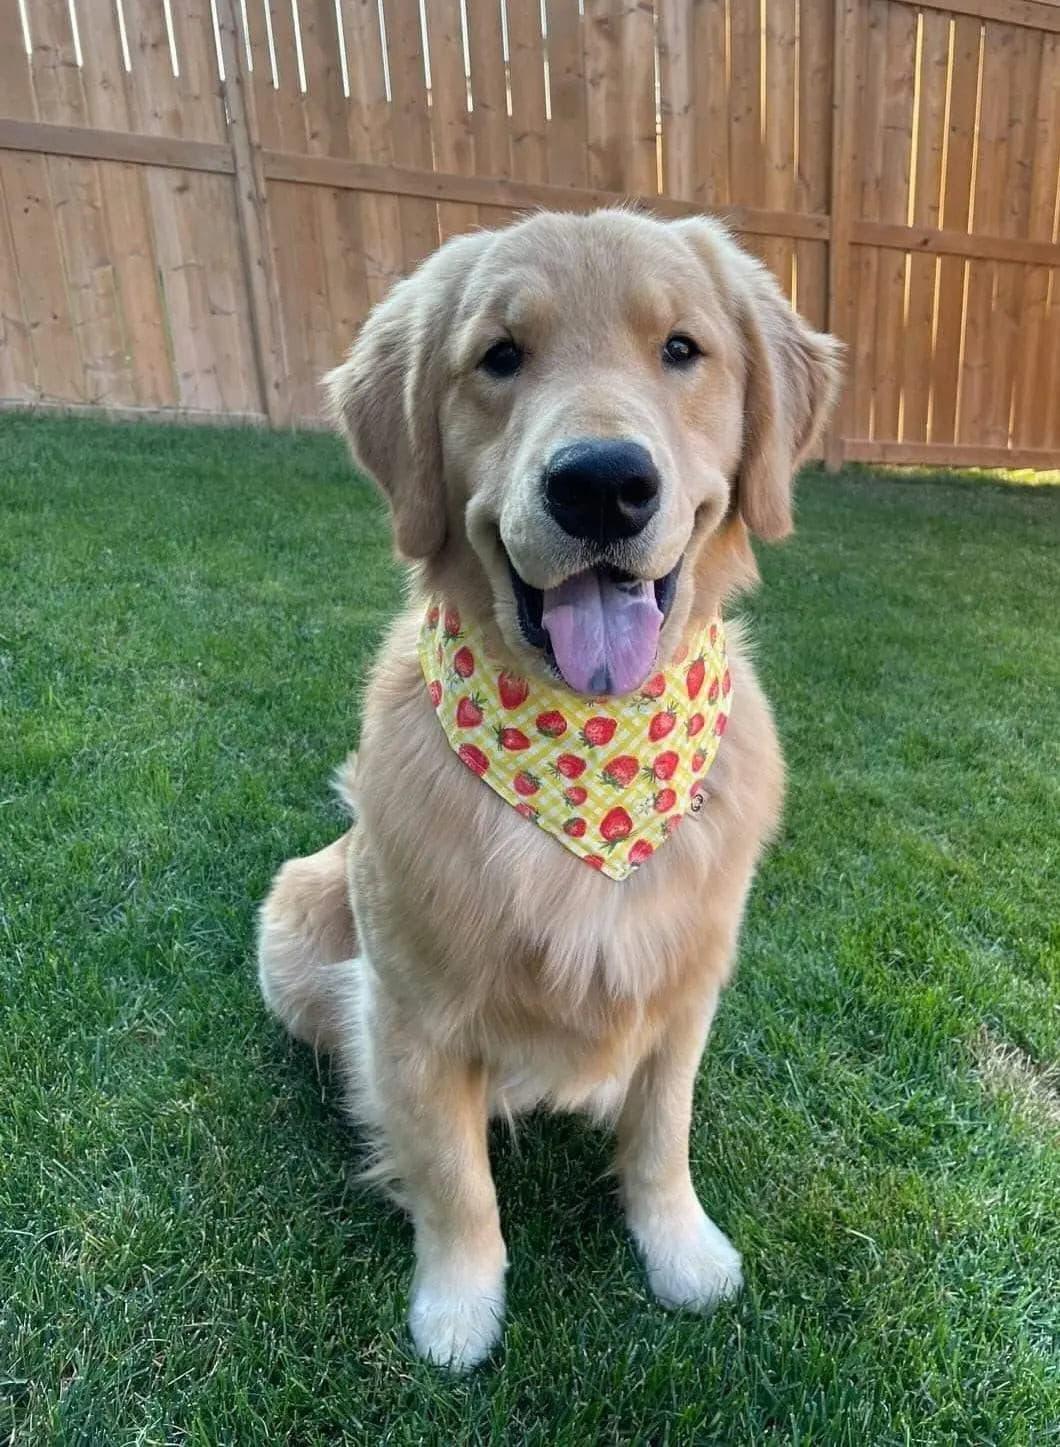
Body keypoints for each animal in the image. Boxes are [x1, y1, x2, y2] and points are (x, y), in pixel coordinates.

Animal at [254, 204, 832, 1365]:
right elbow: (453, 1178)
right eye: (499, 357)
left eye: (681, 348)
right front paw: (457, 1308)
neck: (589, 750)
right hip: (294, 921)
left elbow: (661, 1135)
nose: (601, 482)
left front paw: (680, 1250)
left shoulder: (687, 990)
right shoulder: (412, 1015)